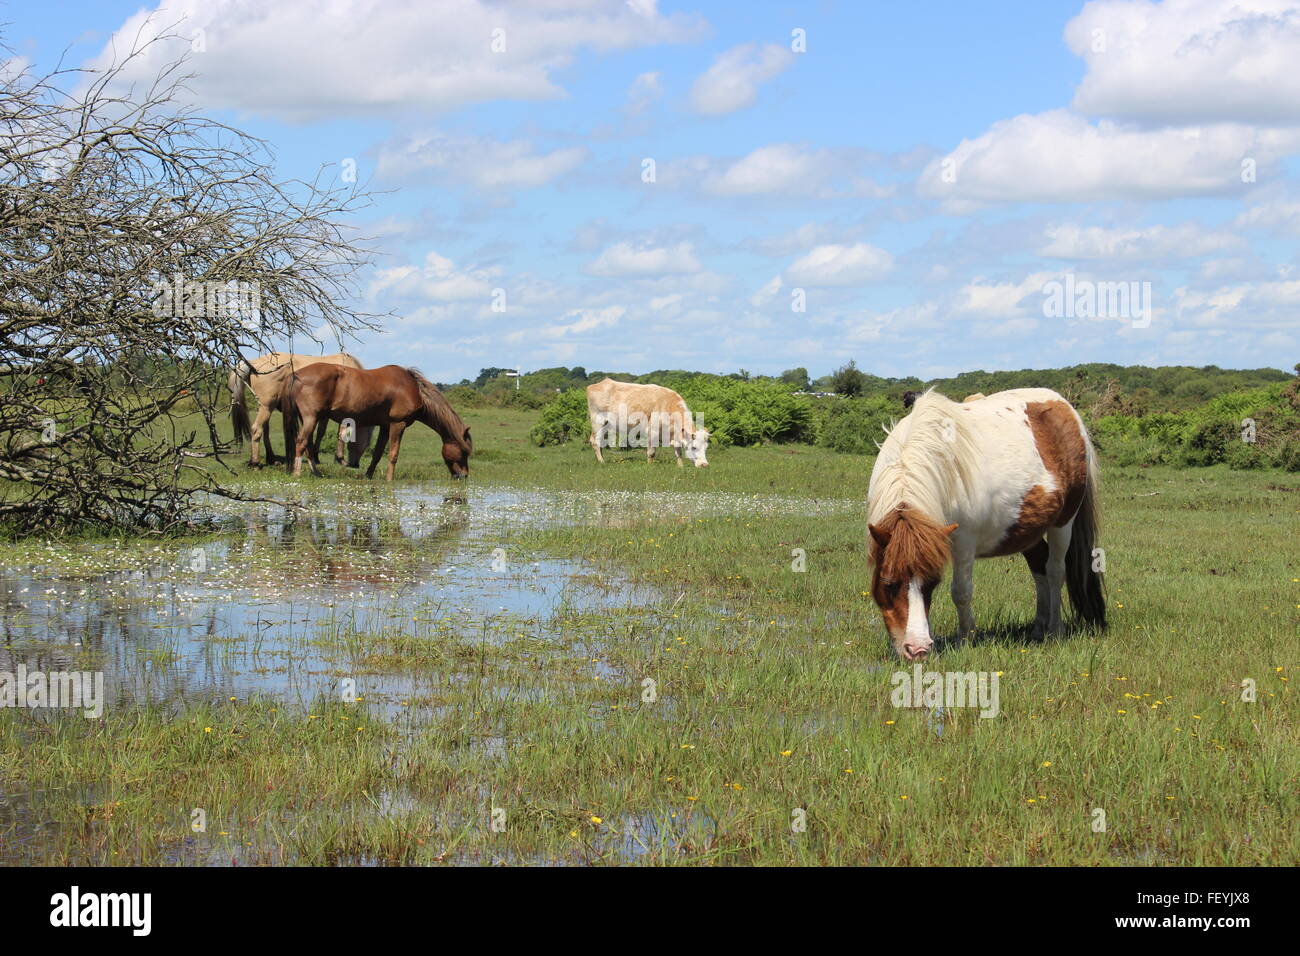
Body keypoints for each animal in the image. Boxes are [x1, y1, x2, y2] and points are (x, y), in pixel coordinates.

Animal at [224, 353, 371, 468]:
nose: (355, 464)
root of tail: (254, 363)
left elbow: (320, 433)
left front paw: (316, 456)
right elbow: (338, 433)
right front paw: (339, 458)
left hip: (266, 407)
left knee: (265, 431)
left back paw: (271, 458)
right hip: (267, 406)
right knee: (256, 430)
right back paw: (255, 462)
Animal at [282, 366, 475, 486]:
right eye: (464, 452)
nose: (464, 476)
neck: (413, 389)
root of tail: (296, 374)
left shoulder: (385, 426)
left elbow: (377, 453)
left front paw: (368, 475)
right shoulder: (398, 424)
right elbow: (393, 454)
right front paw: (390, 479)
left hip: (308, 418)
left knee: (307, 444)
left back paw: (317, 473)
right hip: (310, 417)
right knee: (301, 443)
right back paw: (297, 474)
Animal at [868, 387, 1102, 658]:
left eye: (933, 583)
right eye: (889, 584)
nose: (918, 649)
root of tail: (1066, 407)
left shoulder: (963, 542)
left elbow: (961, 591)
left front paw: (965, 639)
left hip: (1063, 523)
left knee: (1055, 570)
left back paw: (1055, 630)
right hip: (1028, 529)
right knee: (1039, 566)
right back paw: (1038, 628)